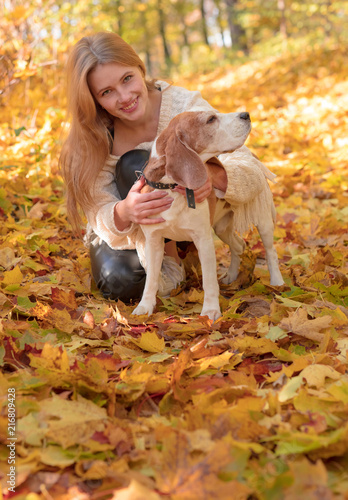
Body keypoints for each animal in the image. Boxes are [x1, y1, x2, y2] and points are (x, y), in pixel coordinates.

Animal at [132, 109, 284, 320]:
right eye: (211, 119)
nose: (246, 114)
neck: (173, 188)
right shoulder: (153, 241)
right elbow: (151, 279)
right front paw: (145, 307)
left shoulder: (203, 240)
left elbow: (209, 281)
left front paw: (211, 310)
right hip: (222, 228)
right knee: (239, 246)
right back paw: (231, 276)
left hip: (263, 223)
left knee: (271, 252)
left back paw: (277, 282)